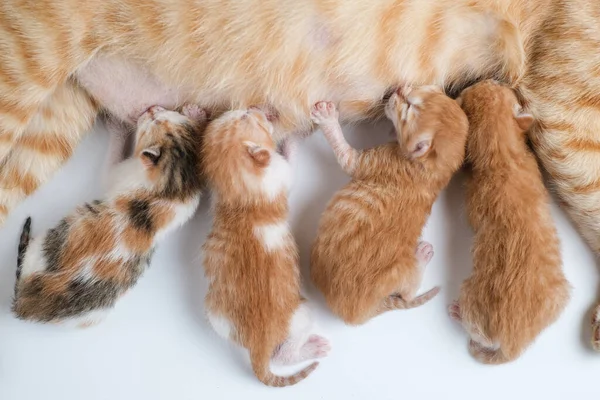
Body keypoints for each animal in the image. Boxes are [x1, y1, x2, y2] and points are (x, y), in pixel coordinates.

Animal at [11, 104, 204, 326]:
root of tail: (26, 304)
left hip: (43, 245)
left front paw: (117, 127)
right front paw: (196, 114)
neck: (174, 187)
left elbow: (110, 167)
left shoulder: (122, 173)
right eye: (164, 114)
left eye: (153, 121)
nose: (151, 108)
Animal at [204, 107, 330, 388]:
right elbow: (289, 162)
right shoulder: (280, 172)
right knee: (282, 355)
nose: (253, 109)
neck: (241, 193)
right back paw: (312, 348)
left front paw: (193, 113)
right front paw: (293, 139)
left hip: (218, 318)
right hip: (303, 312)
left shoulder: (216, 196)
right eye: (246, 119)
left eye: (236, 116)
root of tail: (258, 346)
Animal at [310, 85, 468, 324]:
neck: (433, 169)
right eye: (429, 89)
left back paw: (423, 255)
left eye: (409, 106)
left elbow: (345, 155)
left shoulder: (362, 161)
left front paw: (327, 117)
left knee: (408, 294)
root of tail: (367, 309)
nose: (399, 89)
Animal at [450, 79, 572, 364]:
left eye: (487, 84)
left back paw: (456, 311)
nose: (492, 78)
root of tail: (511, 344)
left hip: (469, 295)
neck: (502, 154)